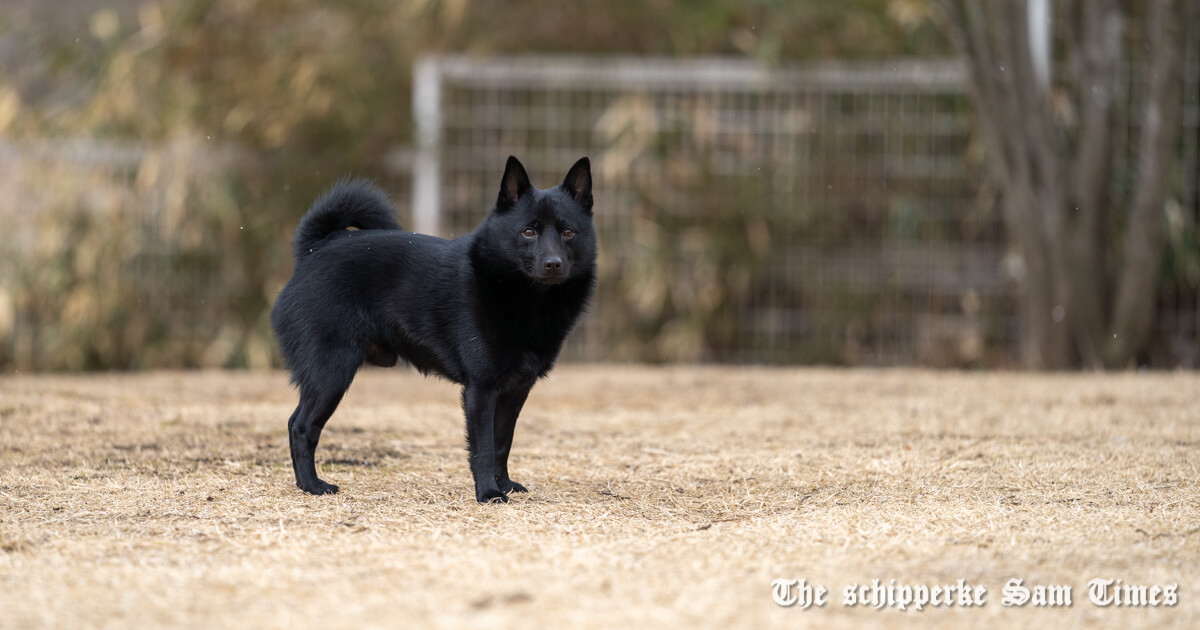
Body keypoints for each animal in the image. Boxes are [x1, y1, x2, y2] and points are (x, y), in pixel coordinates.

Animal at [270, 156, 592, 501]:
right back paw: (311, 485)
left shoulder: (516, 390)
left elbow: (502, 443)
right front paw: (488, 493)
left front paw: (504, 485)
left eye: (569, 232)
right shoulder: (481, 389)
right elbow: (483, 446)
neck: (524, 296)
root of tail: (313, 250)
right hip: (331, 372)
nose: (553, 264)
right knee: (300, 426)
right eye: (529, 232)